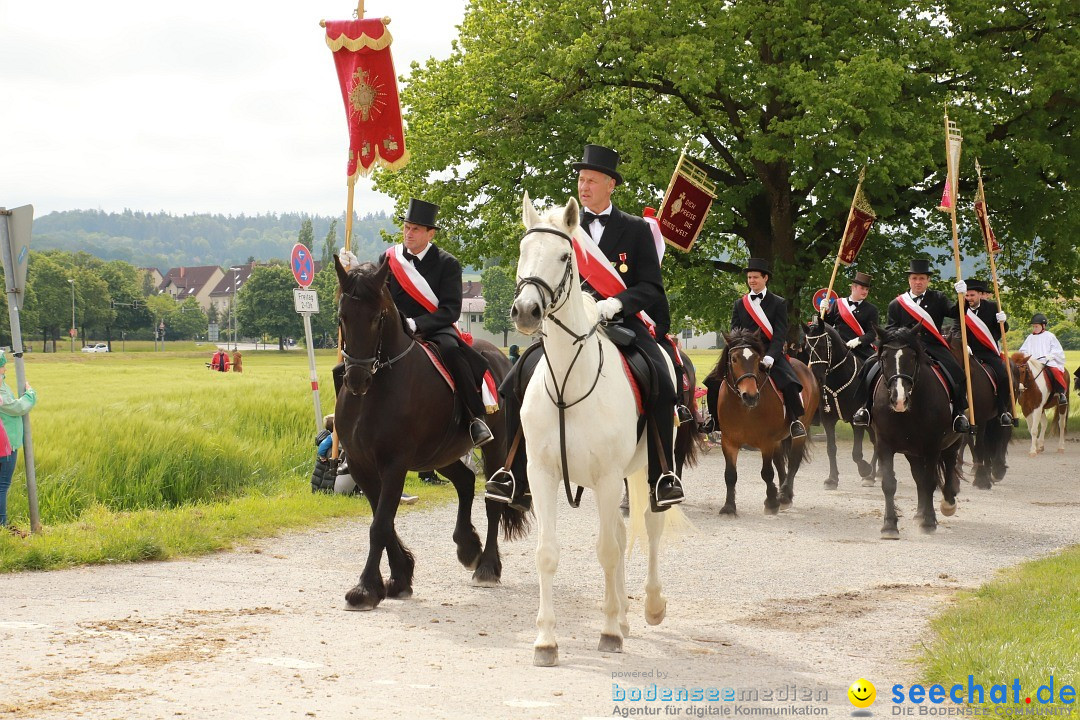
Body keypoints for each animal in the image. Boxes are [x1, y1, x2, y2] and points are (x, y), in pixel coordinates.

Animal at [332, 255, 527, 613]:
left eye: (378, 317)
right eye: (343, 316)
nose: (356, 379)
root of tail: (502, 359)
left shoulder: (394, 464)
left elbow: (380, 525)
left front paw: (365, 589)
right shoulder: (361, 464)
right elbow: (383, 520)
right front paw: (399, 578)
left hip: (494, 449)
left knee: (491, 501)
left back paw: (487, 566)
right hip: (440, 454)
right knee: (465, 481)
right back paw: (468, 546)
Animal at [511, 194, 678, 669]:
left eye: (565, 256)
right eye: (523, 252)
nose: (526, 311)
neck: (570, 381)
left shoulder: (606, 477)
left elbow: (607, 550)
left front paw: (607, 634)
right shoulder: (542, 474)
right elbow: (548, 553)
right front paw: (546, 641)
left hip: (647, 468)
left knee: (648, 525)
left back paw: (648, 607)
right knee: (621, 535)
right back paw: (622, 616)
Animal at [704, 330, 812, 515]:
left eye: (757, 359)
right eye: (734, 359)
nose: (751, 396)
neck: (744, 408)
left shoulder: (766, 441)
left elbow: (767, 472)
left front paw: (771, 502)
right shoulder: (729, 441)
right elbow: (730, 474)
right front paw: (729, 507)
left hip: (798, 433)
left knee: (793, 462)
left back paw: (784, 496)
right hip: (778, 439)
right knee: (780, 462)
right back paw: (782, 495)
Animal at [803, 319, 876, 490]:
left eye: (822, 346)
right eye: (807, 348)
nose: (817, 378)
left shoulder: (857, 421)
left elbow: (856, 453)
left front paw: (865, 469)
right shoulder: (828, 419)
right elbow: (831, 448)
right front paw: (832, 479)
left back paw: (872, 475)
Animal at [872, 325, 967, 539]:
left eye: (912, 357)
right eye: (885, 358)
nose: (899, 400)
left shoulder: (933, 445)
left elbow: (930, 481)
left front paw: (929, 522)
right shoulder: (884, 444)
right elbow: (889, 483)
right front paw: (889, 526)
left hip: (950, 443)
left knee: (948, 466)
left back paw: (946, 504)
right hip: (912, 452)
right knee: (918, 478)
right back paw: (919, 513)